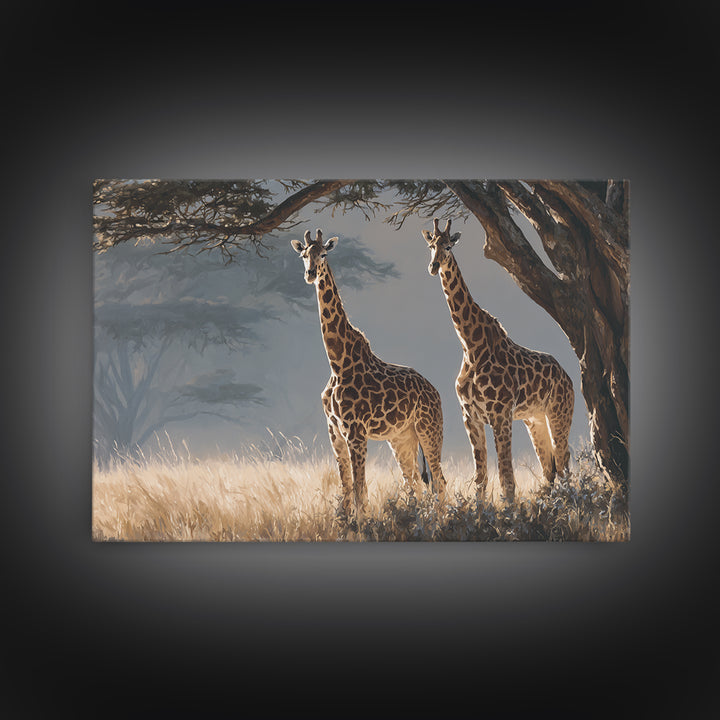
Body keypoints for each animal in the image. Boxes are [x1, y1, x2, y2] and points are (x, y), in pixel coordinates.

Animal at [291, 228, 447, 521]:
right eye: (304, 254)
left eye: (324, 253)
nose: (310, 274)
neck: (337, 362)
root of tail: (435, 391)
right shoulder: (334, 430)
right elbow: (346, 485)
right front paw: (346, 522)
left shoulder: (356, 431)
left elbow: (359, 486)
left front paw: (362, 523)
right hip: (401, 437)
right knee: (414, 481)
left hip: (429, 429)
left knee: (438, 480)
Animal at [422, 218, 574, 504]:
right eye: (431, 246)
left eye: (449, 246)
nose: (434, 266)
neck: (470, 346)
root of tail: (567, 377)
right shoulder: (470, 416)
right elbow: (480, 478)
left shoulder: (500, 414)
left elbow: (506, 477)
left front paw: (508, 513)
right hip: (534, 419)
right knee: (549, 466)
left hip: (559, 413)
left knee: (563, 461)